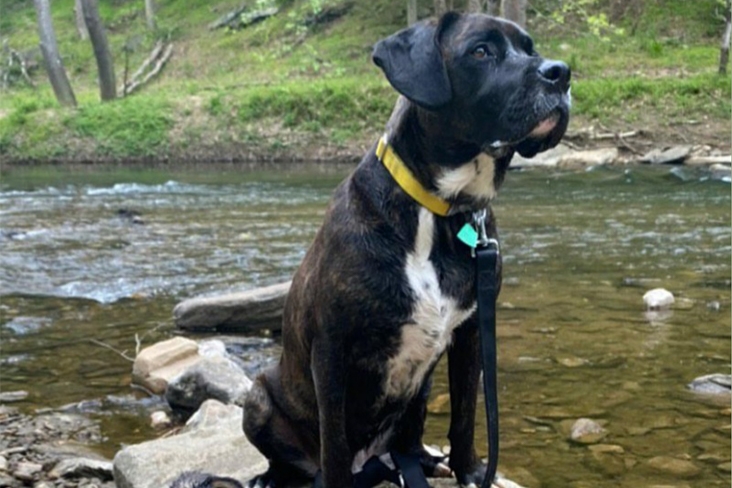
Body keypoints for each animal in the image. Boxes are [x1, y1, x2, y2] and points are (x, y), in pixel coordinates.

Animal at [243, 10, 568, 488]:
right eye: (481, 51)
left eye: (531, 48)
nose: (561, 72)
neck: (438, 211)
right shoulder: (332, 349)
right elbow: (333, 443)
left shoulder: (470, 334)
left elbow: (466, 413)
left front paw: (470, 471)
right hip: (258, 399)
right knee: (298, 456)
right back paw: (276, 476)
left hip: (419, 392)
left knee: (408, 441)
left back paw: (420, 461)